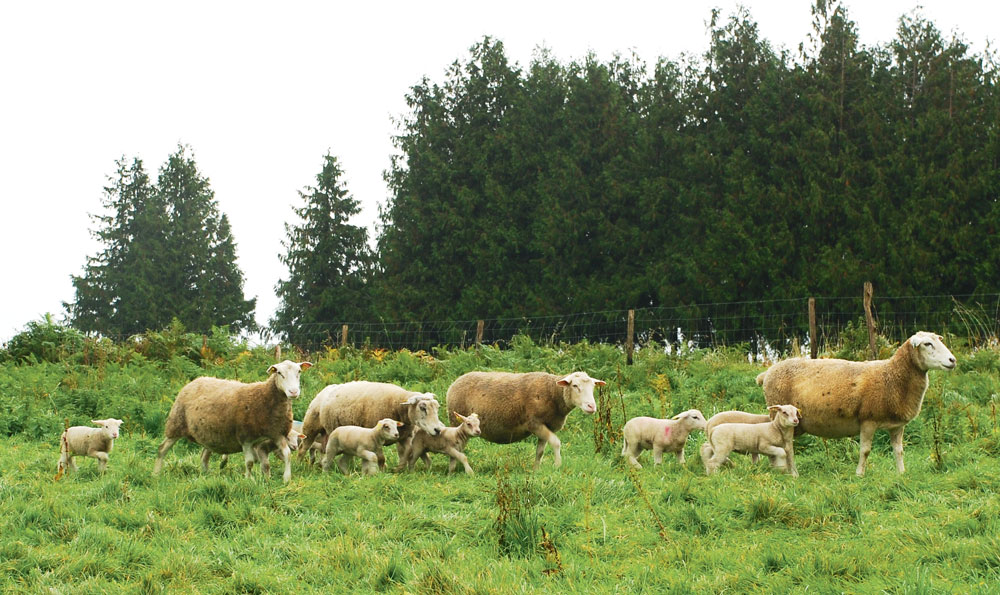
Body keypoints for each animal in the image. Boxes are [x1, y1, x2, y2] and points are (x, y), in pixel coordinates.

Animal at [153, 358, 312, 484]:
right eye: (279, 373)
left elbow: (287, 455)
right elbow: (249, 462)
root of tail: (195, 380)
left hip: (209, 434)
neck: (264, 397)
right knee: (162, 449)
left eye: (299, 371)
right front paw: (249, 480)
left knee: (204, 456)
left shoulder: (277, 434)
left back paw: (206, 474)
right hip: (175, 424)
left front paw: (286, 478)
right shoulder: (246, 438)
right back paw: (156, 473)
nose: (293, 392)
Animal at [296, 382, 446, 470]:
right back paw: (299, 466)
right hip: (311, 427)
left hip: (327, 432)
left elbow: (407, 452)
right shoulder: (375, 436)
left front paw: (398, 469)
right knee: (303, 448)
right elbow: (381, 457)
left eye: (437, 407)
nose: (438, 430)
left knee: (324, 449)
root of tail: (324, 390)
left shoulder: (405, 437)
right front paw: (382, 468)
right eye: (422, 407)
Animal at [448, 372, 604, 470]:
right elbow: (556, 442)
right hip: (455, 421)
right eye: (575, 386)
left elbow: (540, 451)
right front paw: (558, 465)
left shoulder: (547, 426)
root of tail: (454, 383)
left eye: (593, 387)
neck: (553, 394)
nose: (591, 406)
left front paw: (536, 469)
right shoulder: (534, 423)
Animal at [756, 330, 960, 474]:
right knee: (785, 447)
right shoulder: (868, 420)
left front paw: (902, 474)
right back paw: (790, 473)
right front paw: (860, 474)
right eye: (927, 344)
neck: (892, 376)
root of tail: (767, 373)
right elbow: (865, 451)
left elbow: (899, 450)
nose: (952, 360)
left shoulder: (897, 425)